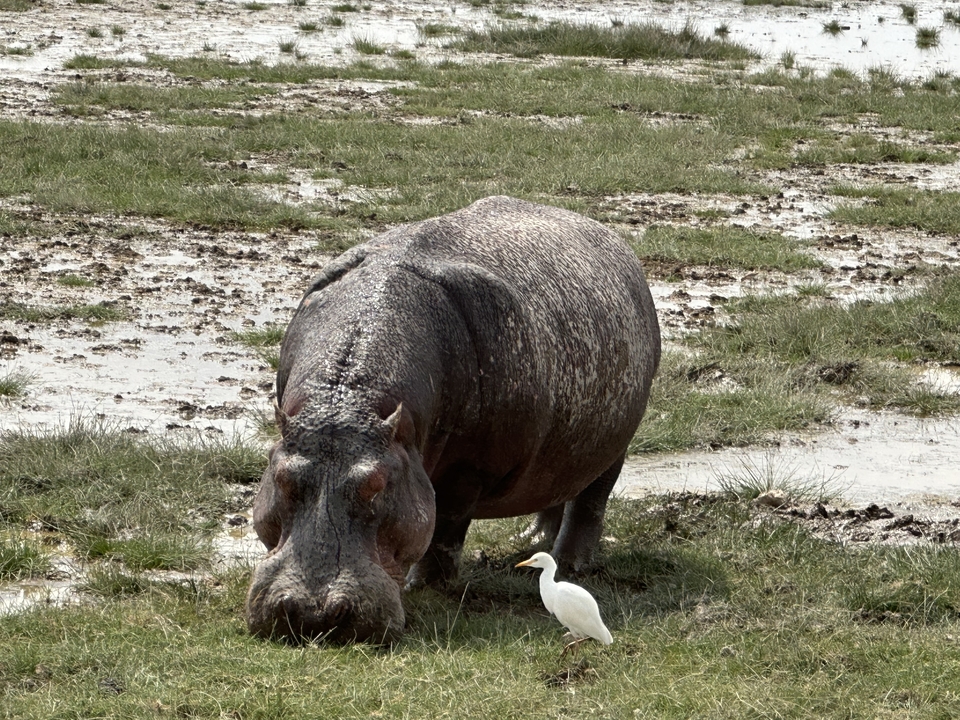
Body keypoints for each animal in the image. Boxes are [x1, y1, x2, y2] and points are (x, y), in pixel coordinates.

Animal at [246, 196, 660, 643]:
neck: (348, 402)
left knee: (592, 499)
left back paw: (570, 562)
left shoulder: (468, 469)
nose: (314, 614)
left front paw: (425, 585)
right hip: (563, 445)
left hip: (616, 444)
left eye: (378, 484)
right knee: (557, 484)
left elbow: (446, 523)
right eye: (281, 477)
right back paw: (532, 538)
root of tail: (612, 239)